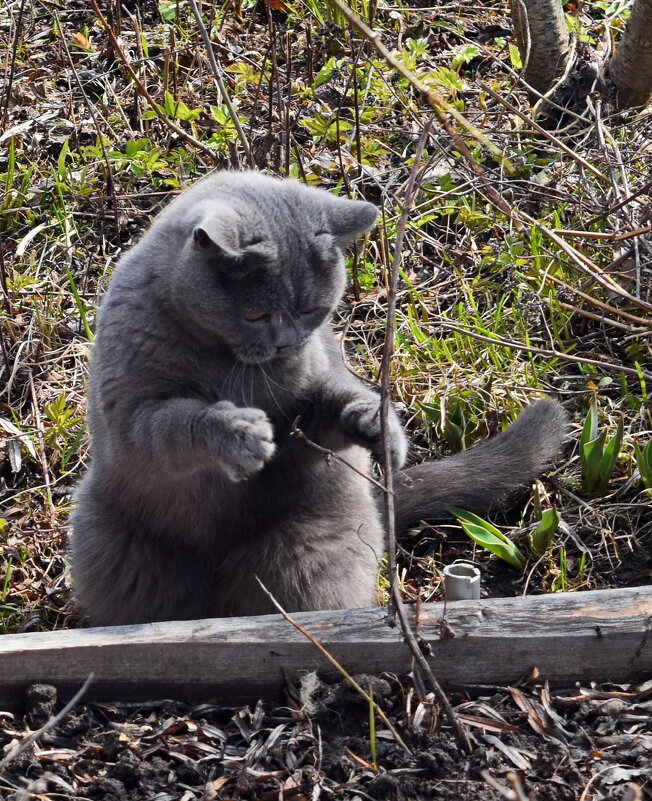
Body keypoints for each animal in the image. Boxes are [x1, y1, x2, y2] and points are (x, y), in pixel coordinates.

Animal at [69, 170, 564, 624]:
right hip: (121, 548)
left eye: (309, 309)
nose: (286, 343)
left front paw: (377, 425)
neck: (226, 360)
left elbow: (330, 404)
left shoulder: (310, 393)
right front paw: (238, 433)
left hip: (308, 548)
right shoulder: (129, 411)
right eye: (255, 314)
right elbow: (170, 425)